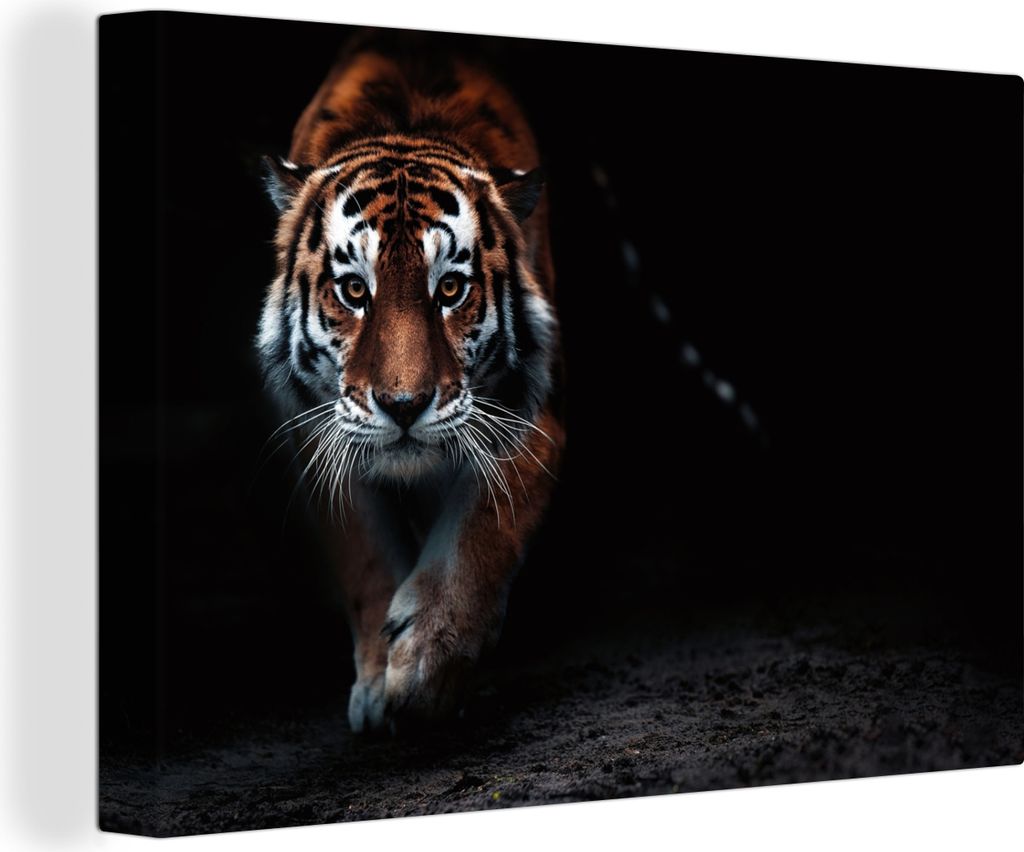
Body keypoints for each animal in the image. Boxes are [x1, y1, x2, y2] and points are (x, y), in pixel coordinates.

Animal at [257, 32, 564, 733]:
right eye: (354, 291)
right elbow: (366, 554)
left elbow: (483, 527)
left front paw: (426, 662)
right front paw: (379, 685)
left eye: (449, 289)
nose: (402, 406)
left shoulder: (534, 418)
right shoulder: (317, 433)